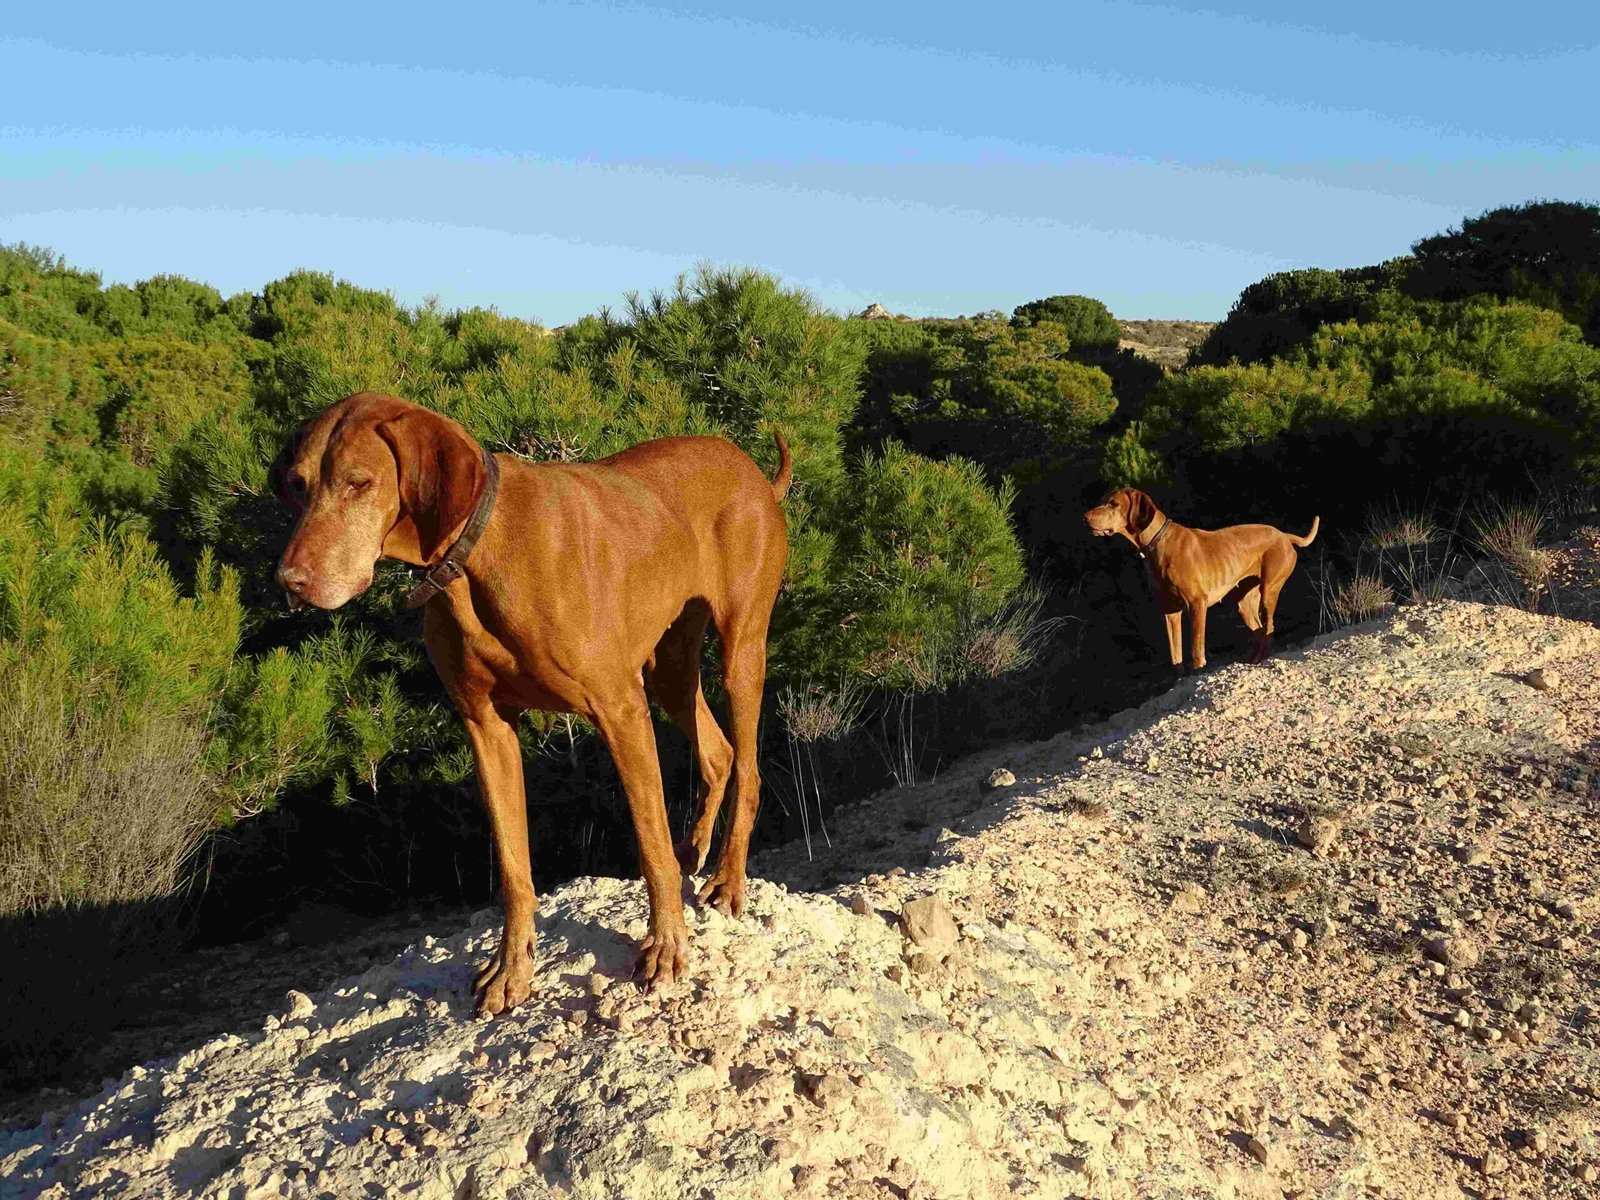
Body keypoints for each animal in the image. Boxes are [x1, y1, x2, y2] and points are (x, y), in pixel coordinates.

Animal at [278, 395, 796, 1017]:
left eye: (359, 483)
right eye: (299, 484)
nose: (289, 581)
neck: (475, 554)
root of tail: (755, 474)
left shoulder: (621, 711)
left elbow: (648, 843)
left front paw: (666, 948)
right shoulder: (487, 728)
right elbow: (512, 864)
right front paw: (511, 969)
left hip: (740, 652)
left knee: (750, 768)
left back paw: (729, 880)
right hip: (669, 668)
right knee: (718, 753)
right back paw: (695, 850)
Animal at [1081, 489, 1318, 678]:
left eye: (1114, 503)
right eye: (1102, 500)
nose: (1084, 517)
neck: (1156, 543)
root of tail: (1284, 535)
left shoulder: (1197, 604)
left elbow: (1196, 650)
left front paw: (1197, 672)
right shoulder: (1169, 612)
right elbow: (1175, 654)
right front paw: (1179, 681)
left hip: (1269, 590)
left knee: (1269, 628)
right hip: (1244, 605)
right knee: (1259, 631)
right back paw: (1254, 661)